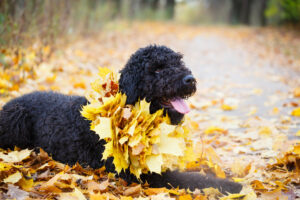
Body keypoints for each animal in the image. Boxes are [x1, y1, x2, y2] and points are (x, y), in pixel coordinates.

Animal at [0, 45, 241, 194]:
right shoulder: (142, 175)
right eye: (157, 69)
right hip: (17, 118)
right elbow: (194, 179)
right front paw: (233, 186)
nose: (189, 79)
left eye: (179, 62)